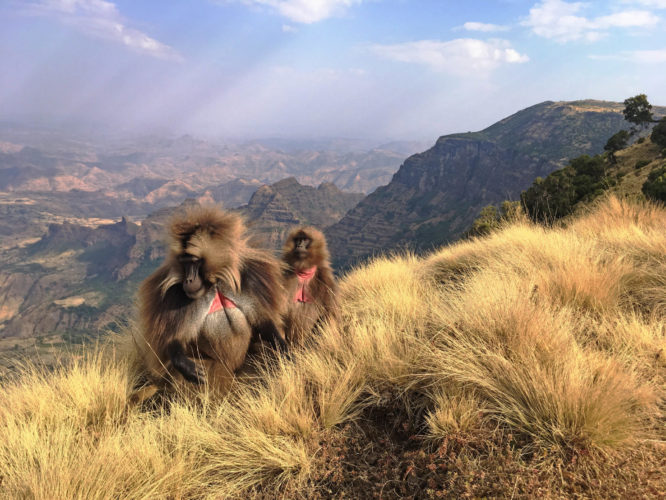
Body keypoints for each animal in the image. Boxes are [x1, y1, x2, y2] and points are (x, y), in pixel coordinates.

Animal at [135, 205, 287, 394]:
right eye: (184, 263)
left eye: (193, 262)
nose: (188, 280)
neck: (214, 284)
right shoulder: (173, 296)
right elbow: (174, 341)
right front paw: (183, 364)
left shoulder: (249, 277)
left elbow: (261, 321)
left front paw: (284, 347)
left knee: (265, 350)